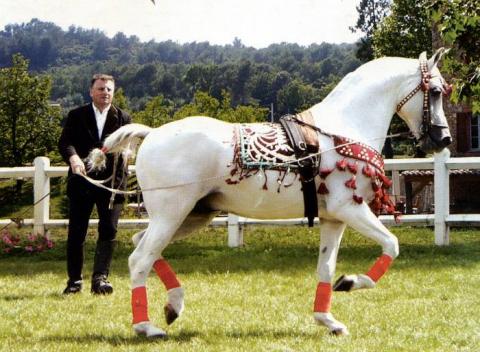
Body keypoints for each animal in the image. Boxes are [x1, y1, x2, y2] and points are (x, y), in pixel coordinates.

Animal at [88, 48, 452, 336]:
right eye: (434, 91)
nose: (443, 138)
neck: (343, 129)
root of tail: (151, 134)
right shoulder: (350, 208)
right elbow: (392, 244)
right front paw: (350, 283)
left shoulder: (334, 218)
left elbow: (326, 267)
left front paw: (328, 319)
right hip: (171, 214)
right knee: (139, 259)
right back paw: (146, 326)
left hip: (192, 215)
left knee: (143, 247)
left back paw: (173, 306)